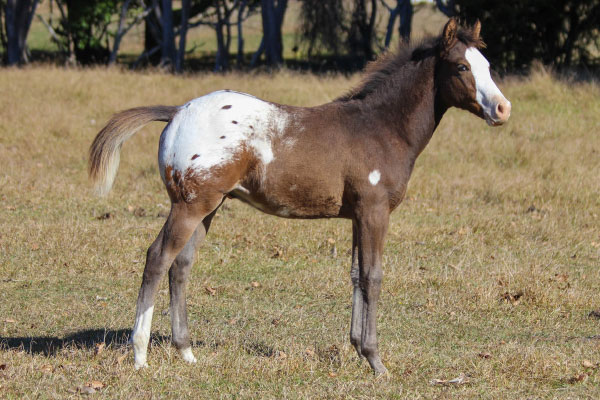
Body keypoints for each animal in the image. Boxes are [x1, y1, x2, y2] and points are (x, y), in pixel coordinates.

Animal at [89, 18, 510, 376]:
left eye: (487, 65)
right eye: (461, 67)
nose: (503, 109)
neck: (380, 128)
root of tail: (177, 112)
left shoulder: (357, 215)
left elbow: (355, 275)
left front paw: (357, 349)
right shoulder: (375, 212)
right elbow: (373, 277)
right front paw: (376, 362)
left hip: (209, 207)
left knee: (181, 265)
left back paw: (187, 352)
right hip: (190, 206)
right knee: (158, 258)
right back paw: (140, 355)